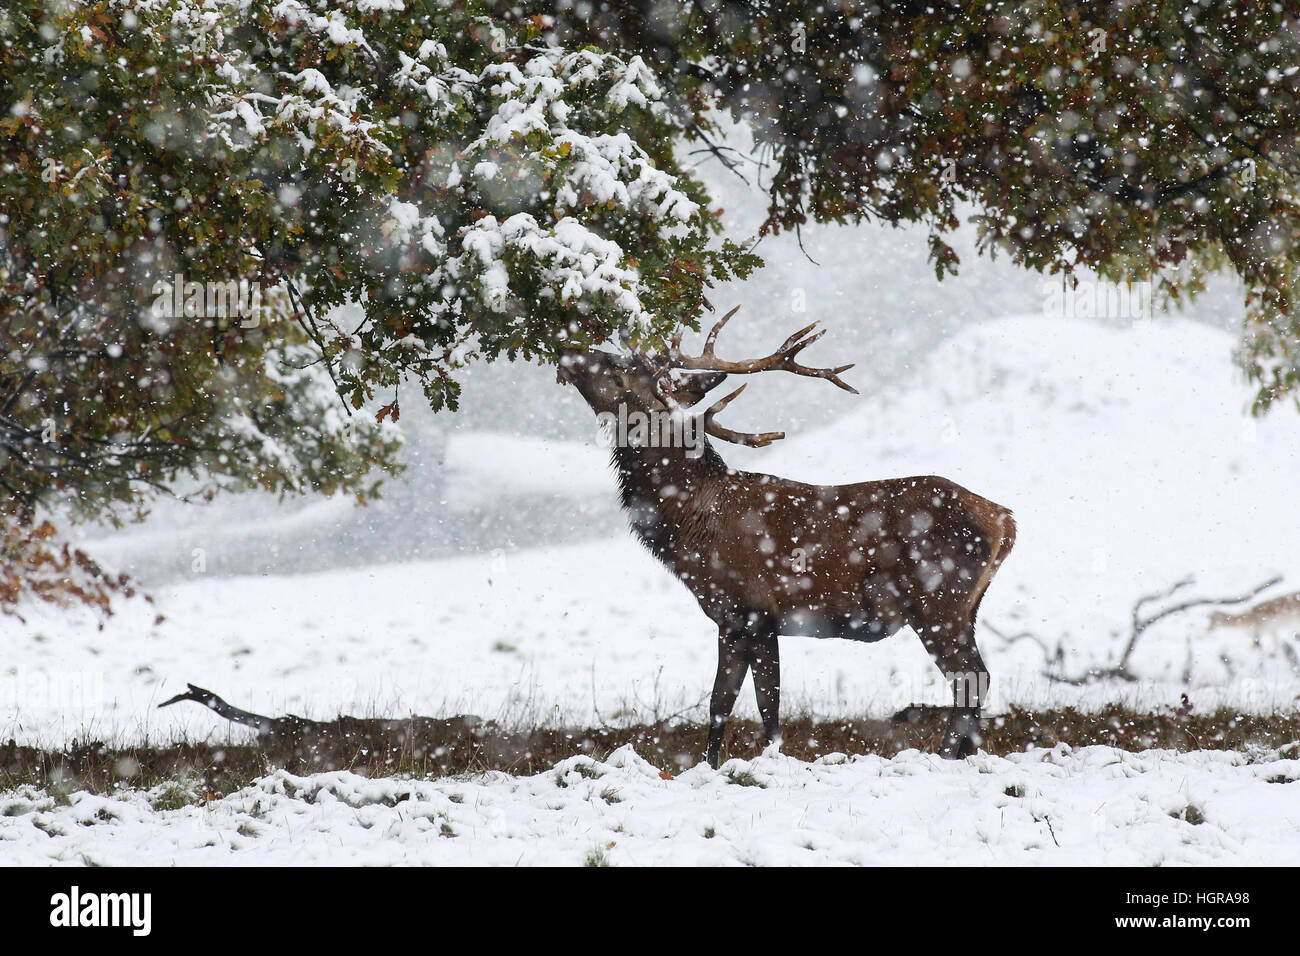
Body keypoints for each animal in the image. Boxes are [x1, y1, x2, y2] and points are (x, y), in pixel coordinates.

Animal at [557, 306, 1017, 768]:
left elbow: (768, 705)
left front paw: (771, 758)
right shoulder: (728, 619)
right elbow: (719, 703)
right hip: (965, 606)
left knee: (972, 676)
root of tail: (1004, 518)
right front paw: (709, 765)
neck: (691, 527)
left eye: (621, 373)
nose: (569, 348)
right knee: (975, 679)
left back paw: (942, 754)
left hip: (938, 601)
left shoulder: (758, 611)